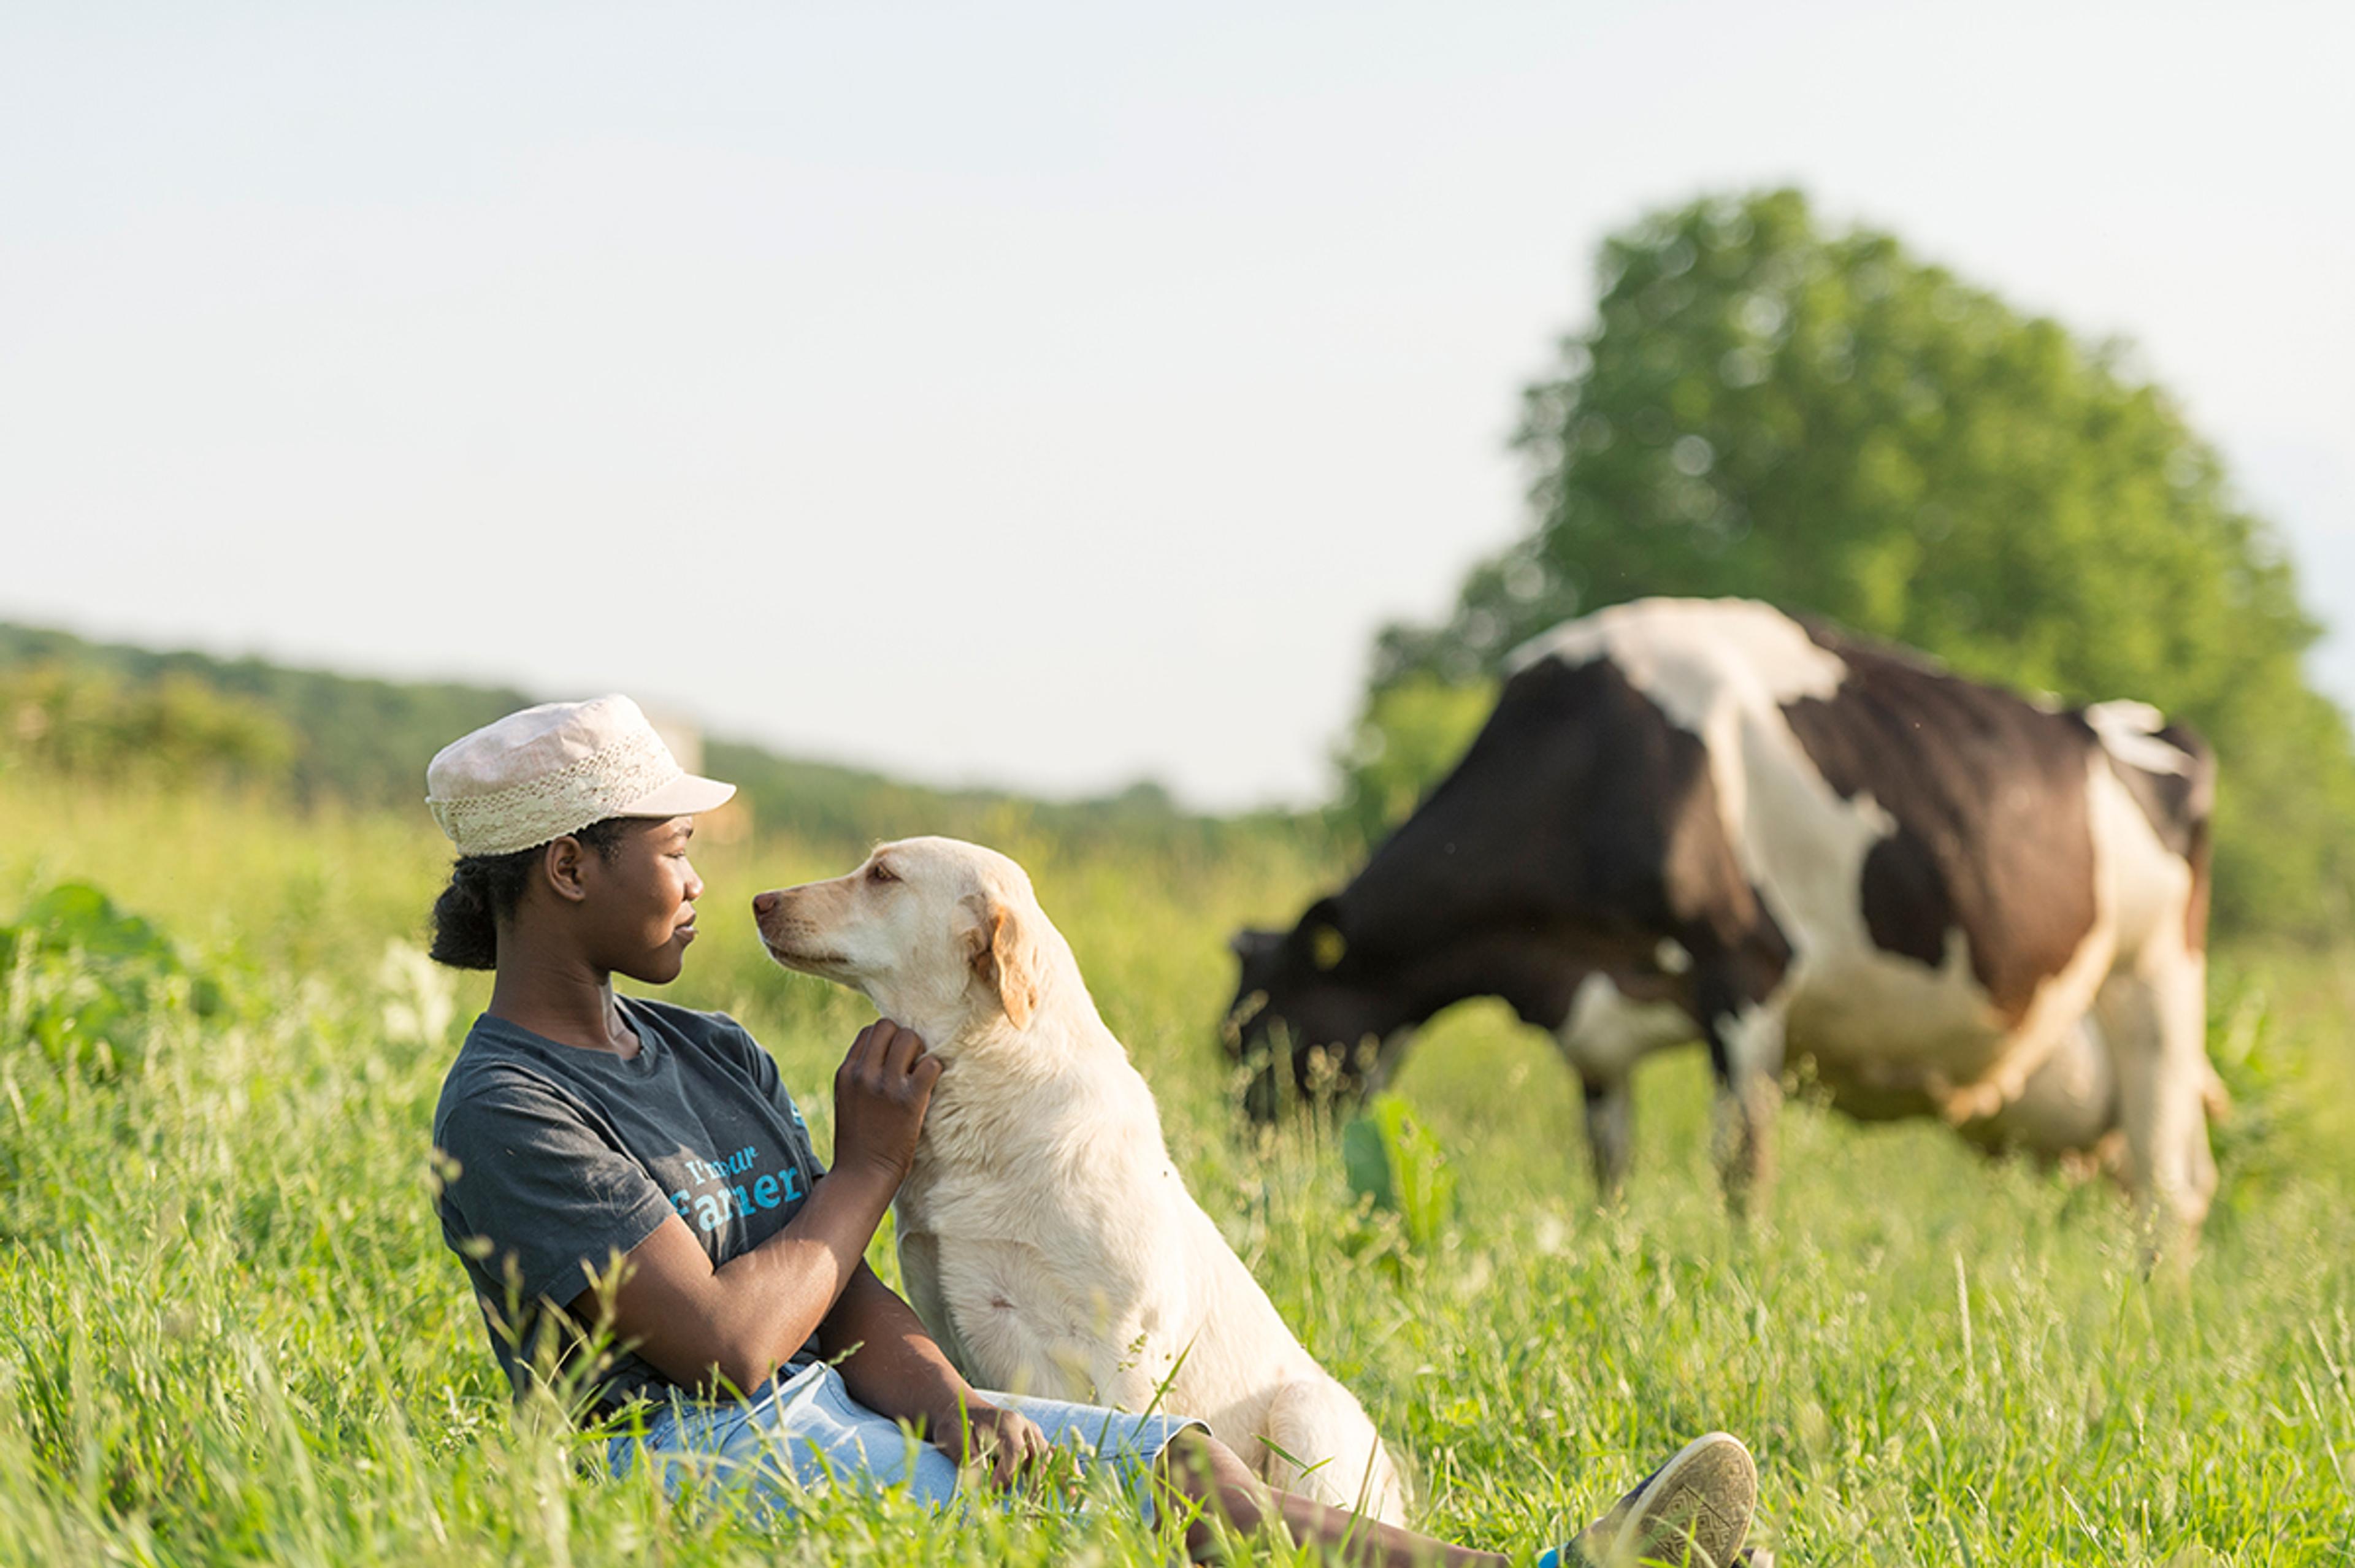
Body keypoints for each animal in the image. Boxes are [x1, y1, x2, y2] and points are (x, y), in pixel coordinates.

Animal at [1226, 597, 2220, 1233]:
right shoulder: (1596, 1029)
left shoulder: (1747, 976)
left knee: (2170, 1188)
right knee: (2166, 1180)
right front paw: (1612, 1256)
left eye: (1272, 1041)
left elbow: (1741, 1171)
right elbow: (1610, 1173)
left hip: (2155, 988)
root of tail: (2146, 727)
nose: (1252, 1201)